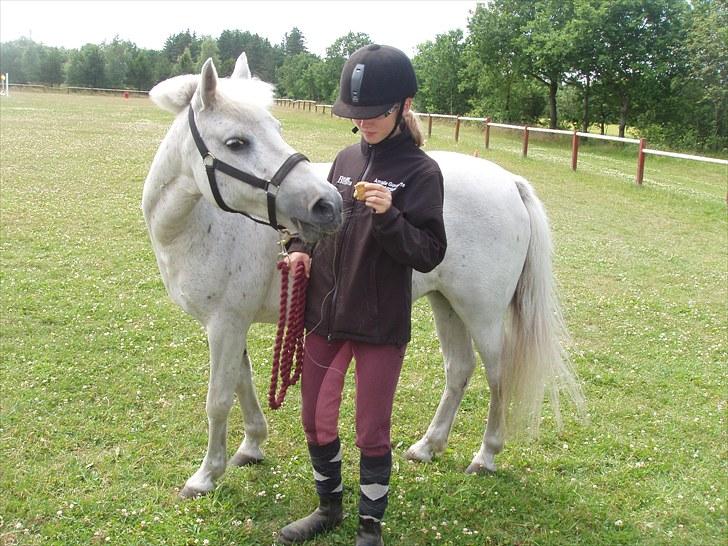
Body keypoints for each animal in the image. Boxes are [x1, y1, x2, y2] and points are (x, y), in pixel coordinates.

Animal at [142, 54, 584, 498]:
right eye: (236, 143)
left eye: (276, 129)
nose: (326, 205)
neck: (203, 223)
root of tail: (509, 182)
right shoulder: (230, 325)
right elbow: (242, 382)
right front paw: (251, 446)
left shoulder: (226, 324)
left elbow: (218, 399)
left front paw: (205, 475)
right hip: (446, 303)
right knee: (459, 369)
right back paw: (428, 446)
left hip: (482, 313)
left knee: (497, 375)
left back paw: (486, 455)